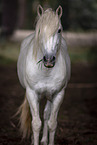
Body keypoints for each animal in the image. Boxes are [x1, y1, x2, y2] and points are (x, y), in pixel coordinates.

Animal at [17, 5, 70, 144]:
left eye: (59, 30)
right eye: (40, 30)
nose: (49, 59)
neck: (46, 72)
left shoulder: (58, 94)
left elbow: (52, 123)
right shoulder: (32, 93)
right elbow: (36, 123)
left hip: (49, 96)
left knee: (46, 114)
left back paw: (44, 140)